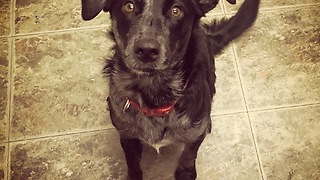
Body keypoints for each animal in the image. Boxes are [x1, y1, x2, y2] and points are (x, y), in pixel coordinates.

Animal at [81, 0, 258, 179]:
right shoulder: (127, 136)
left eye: (176, 11)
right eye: (129, 6)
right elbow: (133, 166)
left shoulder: (193, 137)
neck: (153, 92)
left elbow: (188, 157)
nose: (146, 50)